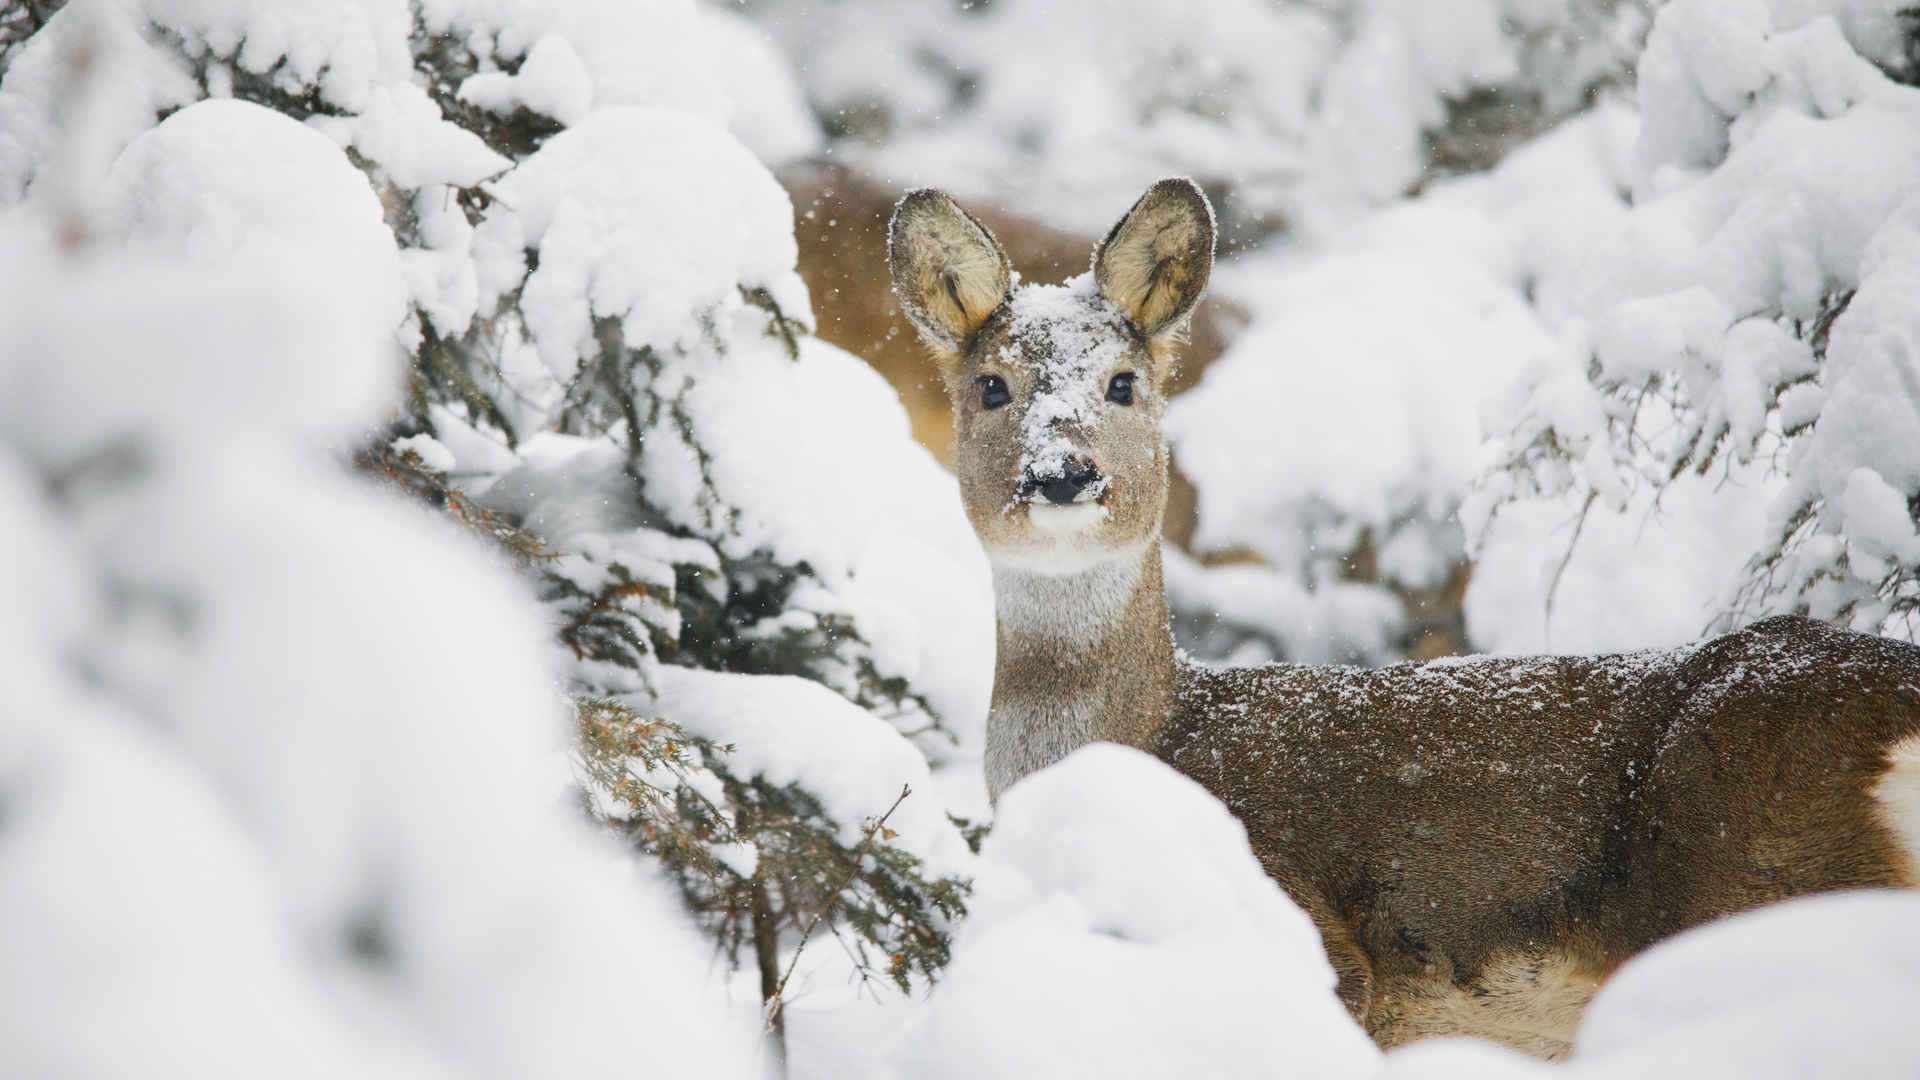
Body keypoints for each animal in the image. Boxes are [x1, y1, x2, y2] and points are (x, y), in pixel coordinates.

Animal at [890, 178, 1920, 1060]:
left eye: (1121, 382)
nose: (1062, 475)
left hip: (1769, 879)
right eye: (991, 385)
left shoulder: (1318, 948)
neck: (1144, 739)